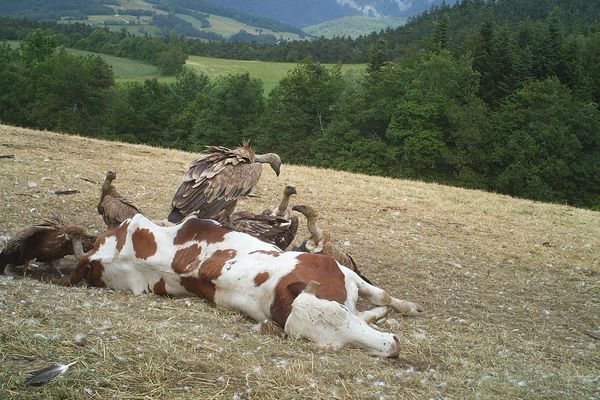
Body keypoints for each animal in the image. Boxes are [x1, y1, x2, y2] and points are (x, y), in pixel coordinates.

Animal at [67, 214, 422, 358]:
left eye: (339, 311)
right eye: (332, 345)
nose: (393, 347)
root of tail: (93, 257)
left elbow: (380, 294)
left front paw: (403, 308)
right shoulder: (342, 273)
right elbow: (380, 297)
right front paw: (387, 312)